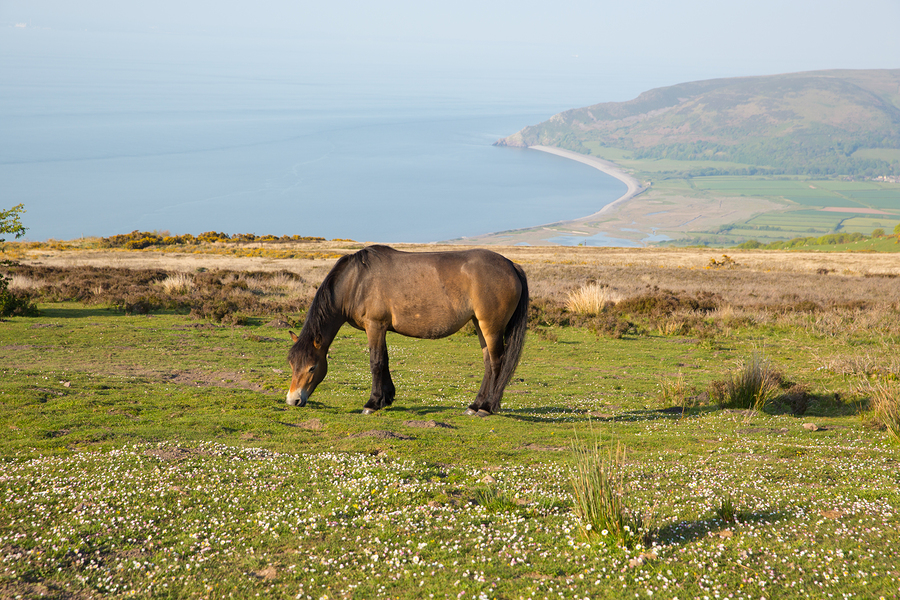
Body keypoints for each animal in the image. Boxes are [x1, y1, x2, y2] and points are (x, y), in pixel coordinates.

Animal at [286, 244, 528, 418]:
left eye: (312, 367)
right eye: (291, 364)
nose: (293, 400)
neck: (356, 281)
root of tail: (511, 265)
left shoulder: (374, 325)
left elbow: (376, 362)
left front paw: (372, 403)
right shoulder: (381, 328)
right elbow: (384, 360)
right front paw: (386, 399)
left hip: (491, 327)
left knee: (496, 363)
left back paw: (486, 407)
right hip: (479, 324)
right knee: (488, 363)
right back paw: (474, 405)